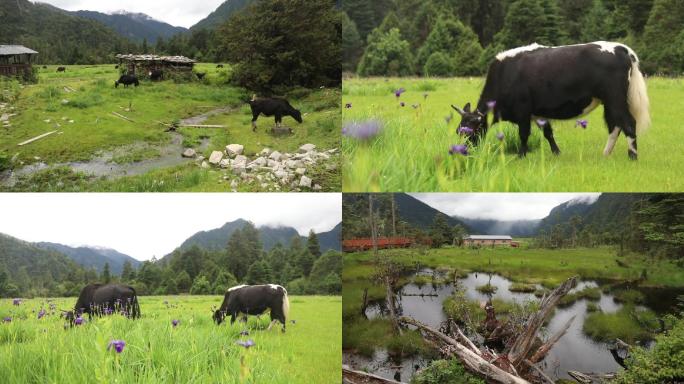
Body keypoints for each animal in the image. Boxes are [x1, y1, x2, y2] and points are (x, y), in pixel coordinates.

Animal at [452, 42, 648, 160]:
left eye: (470, 130)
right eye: (458, 131)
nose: (465, 153)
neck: (506, 73)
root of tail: (621, 48)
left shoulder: (523, 111)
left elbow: (524, 134)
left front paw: (521, 155)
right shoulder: (539, 113)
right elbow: (548, 133)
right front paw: (557, 153)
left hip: (616, 99)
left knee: (628, 124)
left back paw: (633, 156)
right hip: (610, 102)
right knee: (615, 125)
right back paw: (606, 154)